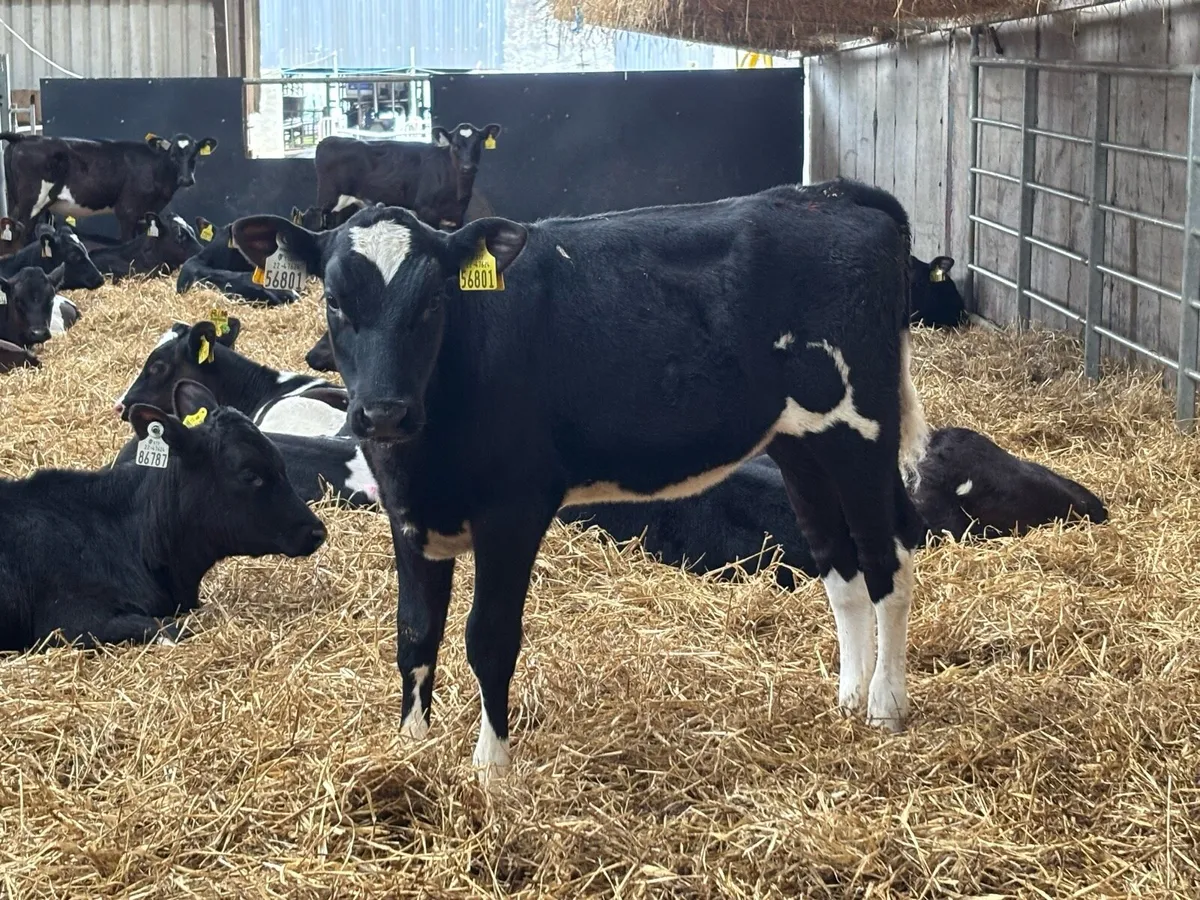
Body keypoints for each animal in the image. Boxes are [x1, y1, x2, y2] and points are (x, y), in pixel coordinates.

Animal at [0, 132, 218, 241]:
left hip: (17, 201)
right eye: (173, 155)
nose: (186, 180)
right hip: (31, 203)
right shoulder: (127, 211)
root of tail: (24, 137)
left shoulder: (145, 214)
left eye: (194, 156)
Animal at [231, 176, 928, 782]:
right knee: (839, 567)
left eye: (433, 300)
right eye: (332, 300)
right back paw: (847, 697)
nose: (382, 412)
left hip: (862, 432)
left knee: (887, 561)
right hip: (802, 445)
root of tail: (831, 193)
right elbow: (415, 633)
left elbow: (489, 637)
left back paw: (885, 705)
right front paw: (410, 749)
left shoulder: (513, 510)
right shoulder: (409, 514)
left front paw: (492, 771)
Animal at [313, 122, 501, 231]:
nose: (467, 167)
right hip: (327, 202)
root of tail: (329, 140)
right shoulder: (427, 212)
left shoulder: (457, 218)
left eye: (477, 143)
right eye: (455, 145)